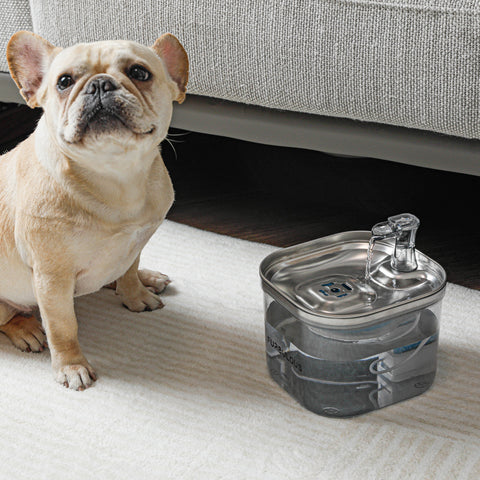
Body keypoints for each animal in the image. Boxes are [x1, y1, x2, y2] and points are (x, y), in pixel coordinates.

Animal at [0, 31, 188, 390]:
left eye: (140, 73)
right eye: (64, 82)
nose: (100, 84)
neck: (114, 174)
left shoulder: (135, 244)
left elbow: (129, 270)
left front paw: (135, 295)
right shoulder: (52, 279)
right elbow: (63, 327)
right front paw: (72, 366)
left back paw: (147, 279)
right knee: (9, 317)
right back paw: (26, 329)